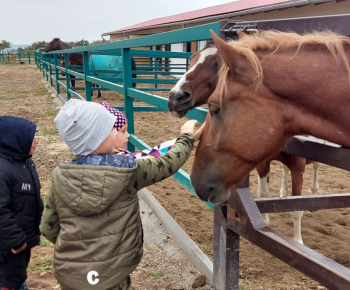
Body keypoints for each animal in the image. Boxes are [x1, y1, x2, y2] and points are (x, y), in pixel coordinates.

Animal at [167, 42, 320, 244]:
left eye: (216, 63)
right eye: (191, 58)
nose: (174, 97)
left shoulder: (298, 166)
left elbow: (296, 209)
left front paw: (297, 241)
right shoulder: (263, 162)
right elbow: (263, 194)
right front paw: (265, 221)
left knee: (316, 168)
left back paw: (315, 192)